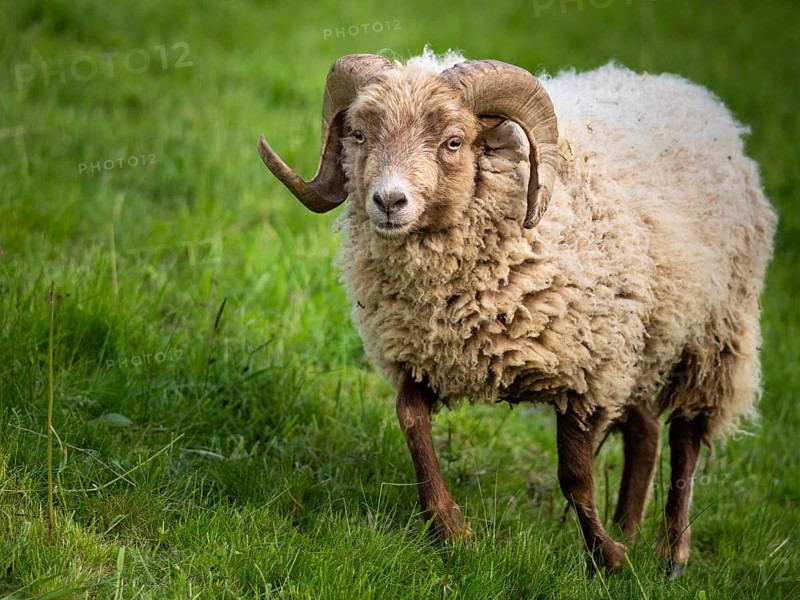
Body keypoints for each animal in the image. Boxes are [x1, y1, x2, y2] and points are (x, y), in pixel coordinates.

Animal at [256, 49, 776, 578]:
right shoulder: (421, 354)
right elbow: (413, 428)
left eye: (453, 141)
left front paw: (605, 558)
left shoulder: (587, 369)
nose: (388, 201)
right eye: (359, 134)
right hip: (642, 339)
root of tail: (690, 92)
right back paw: (629, 527)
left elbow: (575, 475)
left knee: (686, 437)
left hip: (713, 333)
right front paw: (451, 531)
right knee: (646, 429)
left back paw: (671, 554)